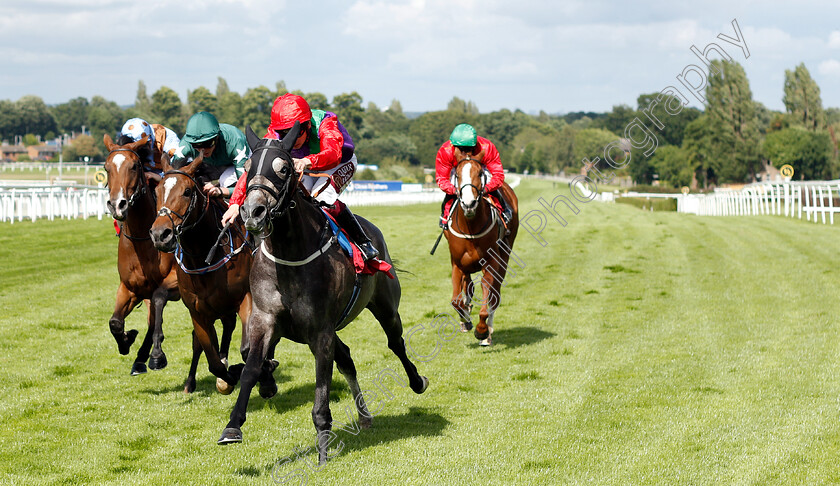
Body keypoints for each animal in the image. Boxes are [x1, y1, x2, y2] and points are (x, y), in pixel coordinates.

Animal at [102, 133, 180, 376]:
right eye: (106, 167)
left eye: (134, 166)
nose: (117, 204)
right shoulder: (129, 288)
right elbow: (115, 322)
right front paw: (127, 341)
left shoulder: (172, 285)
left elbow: (154, 321)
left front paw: (148, 355)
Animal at [149, 155, 256, 394]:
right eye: (157, 191)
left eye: (187, 191)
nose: (160, 234)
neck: (205, 255)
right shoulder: (197, 312)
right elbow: (213, 361)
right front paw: (229, 377)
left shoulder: (245, 297)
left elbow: (247, 348)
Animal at [218, 124, 426, 464]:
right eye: (247, 168)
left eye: (284, 169)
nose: (252, 212)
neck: (289, 255)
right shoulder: (266, 319)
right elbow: (251, 368)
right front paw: (233, 426)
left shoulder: (320, 333)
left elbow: (321, 391)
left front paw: (323, 450)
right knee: (348, 358)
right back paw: (364, 416)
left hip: (385, 306)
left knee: (395, 343)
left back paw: (417, 381)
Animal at [446, 148, 520, 346]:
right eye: (457, 174)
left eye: (480, 173)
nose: (469, 203)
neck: (470, 227)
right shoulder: (457, 263)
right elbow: (456, 300)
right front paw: (466, 321)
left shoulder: (491, 261)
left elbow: (488, 294)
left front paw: (482, 330)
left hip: (505, 254)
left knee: (496, 293)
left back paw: (488, 333)